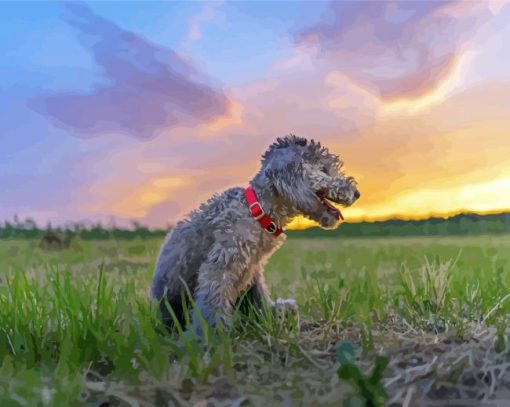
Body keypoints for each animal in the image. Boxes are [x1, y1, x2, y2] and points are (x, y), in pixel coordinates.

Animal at [149, 135, 360, 334]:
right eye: (324, 170)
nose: (357, 193)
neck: (257, 210)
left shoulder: (252, 269)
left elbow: (259, 297)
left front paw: (270, 315)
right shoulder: (222, 264)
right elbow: (212, 303)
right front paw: (213, 335)